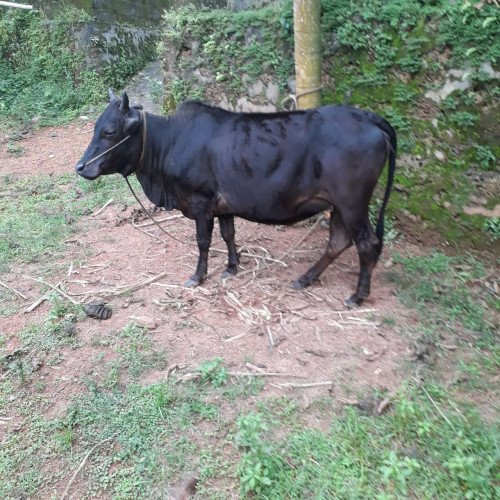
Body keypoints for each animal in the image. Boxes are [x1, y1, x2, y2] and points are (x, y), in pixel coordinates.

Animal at [76, 91, 396, 306]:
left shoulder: (201, 202)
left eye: (109, 132)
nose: (80, 167)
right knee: (338, 241)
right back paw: (306, 278)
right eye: (95, 128)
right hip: (339, 205)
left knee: (366, 244)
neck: (171, 142)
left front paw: (198, 276)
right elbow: (229, 234)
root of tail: (368, 116)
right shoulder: (223, 206)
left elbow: (203, 242)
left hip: (353, 203)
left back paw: (357, 295)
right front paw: (231, 268)